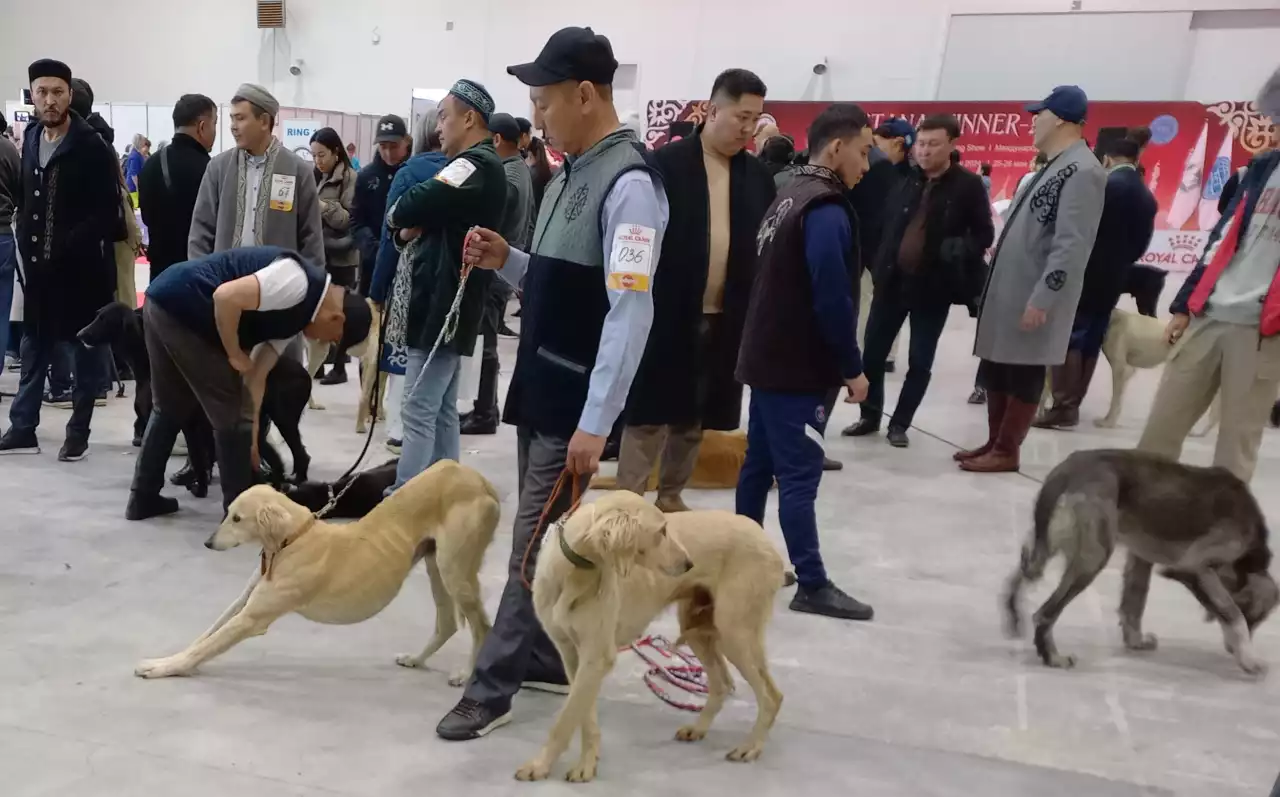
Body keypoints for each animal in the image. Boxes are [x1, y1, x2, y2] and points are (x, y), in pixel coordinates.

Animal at [133, 465, 494, 680]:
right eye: (228, 513)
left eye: (236, 518)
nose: (208, 543)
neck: (292, 539)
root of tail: (477, 478)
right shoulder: (244, 603)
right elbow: (203, 636)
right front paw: (164, 659)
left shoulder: (253, 618)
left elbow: (205, 647)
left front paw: (164, 668)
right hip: (438, 568)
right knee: (448, 624)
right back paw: (417, 660)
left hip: (455, 571)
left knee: (482, 628)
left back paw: (467, 675)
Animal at [517, 493, 778, 788]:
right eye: (661, 531)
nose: (689, 564)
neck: (575, 572)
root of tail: (764, 536)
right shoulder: (572, 654)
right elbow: (582, 715)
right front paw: (587, 763)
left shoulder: (596, 657)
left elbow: (564, 721)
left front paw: (541, 766)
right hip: (699, 629)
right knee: (722, 683)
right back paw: (698, 729)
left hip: (736, 633)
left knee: (771, 696)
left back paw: (751, 747)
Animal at [1003, 450, 1274, 675]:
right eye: (1254, 618)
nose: (1231, 650)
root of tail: (1067, 470)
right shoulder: (1193, 568)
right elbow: (1232, 614)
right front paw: (1250, 660)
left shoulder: (1141, 557)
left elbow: (1133, 600)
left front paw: (1135, 642)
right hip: (1092, 559)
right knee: (1044, 614)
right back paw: (1052, 657)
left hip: (1042, 548)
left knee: (1018, 579)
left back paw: (1014, 617)